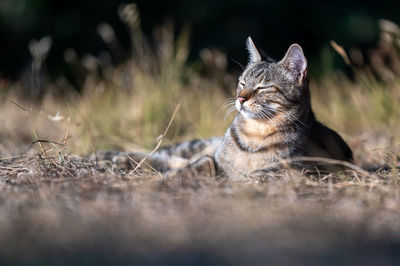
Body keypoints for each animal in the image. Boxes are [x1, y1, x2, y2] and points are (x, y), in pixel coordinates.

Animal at [92, 37, 352, 179]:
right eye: (243, 83)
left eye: (263, 88)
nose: (240, 98)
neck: (255, 133)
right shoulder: (214, 159)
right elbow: (200, 163)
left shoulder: (284, 172)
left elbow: (208, 167)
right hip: (197, 145)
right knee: (172, 155)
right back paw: (115, 157)